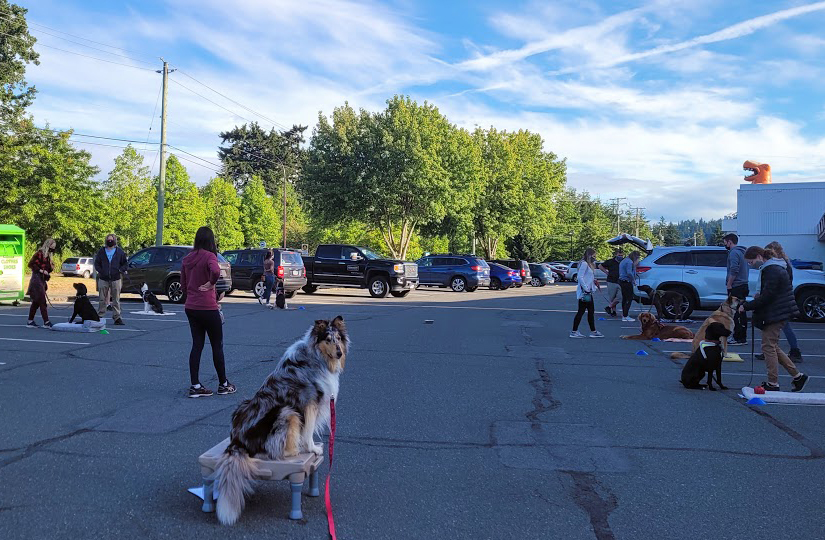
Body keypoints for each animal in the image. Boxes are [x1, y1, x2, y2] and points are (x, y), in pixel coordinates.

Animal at [214, 314, 346, 524]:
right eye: (328, 339)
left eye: (339, 338)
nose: (340, 353)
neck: (317, 357)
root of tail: (237, 442)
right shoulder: (309, 402)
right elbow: (308, 430)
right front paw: (312, 449)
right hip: (287, 411)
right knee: (275, 451)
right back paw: (294, 450)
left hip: (243, 405)